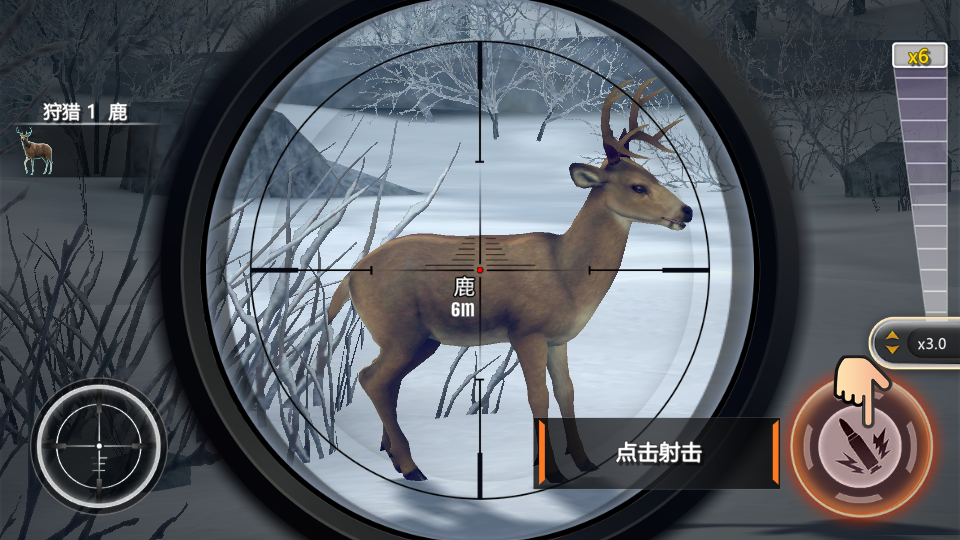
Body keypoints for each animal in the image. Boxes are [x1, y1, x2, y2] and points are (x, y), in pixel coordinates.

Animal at [326, 79, 691, 482]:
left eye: (654, 178)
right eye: (637, 186)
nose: (686, 211)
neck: (566, 273)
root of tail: (353, 275)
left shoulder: (557, 338)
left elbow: (566, 391)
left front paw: (583, 462)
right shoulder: (527, 330)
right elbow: (538, 396)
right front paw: (552, 473)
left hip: (420, 338)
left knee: (386, 382)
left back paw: (393, 456)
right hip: (400, 330)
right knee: (371, 378)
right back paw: (411, 467)